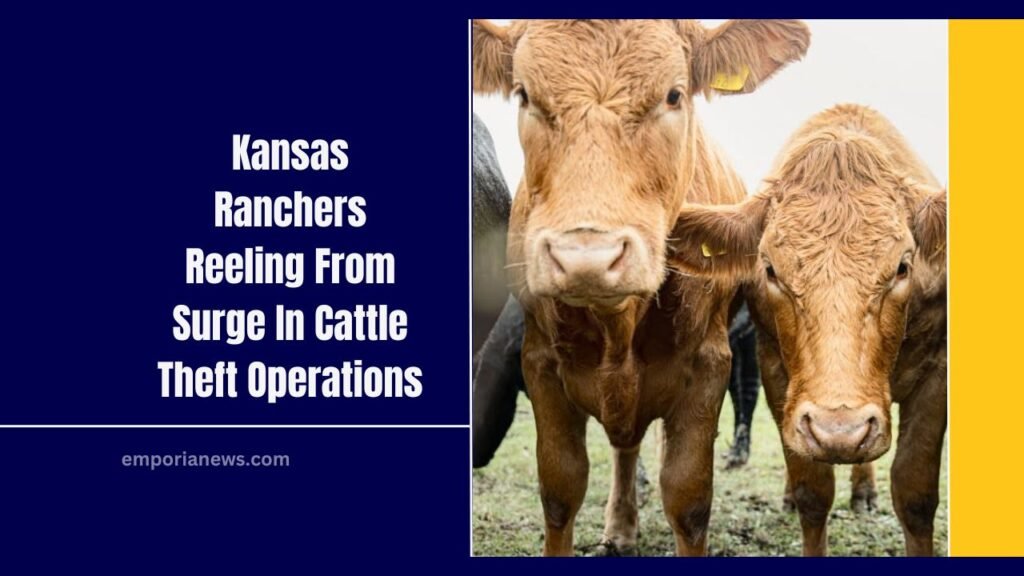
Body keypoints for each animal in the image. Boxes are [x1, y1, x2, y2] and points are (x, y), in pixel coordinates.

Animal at [473, 19, 809, 556]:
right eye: (524, 94)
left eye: (674, 94)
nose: (586, 257)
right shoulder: (540, 361)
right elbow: (561, 490)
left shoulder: (710, 363)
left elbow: (688, 499)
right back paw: (621, 525)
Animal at [670, 104, 946, 556]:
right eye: (770, 269)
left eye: (903, 266)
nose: (841, 431)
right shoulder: (776, 372)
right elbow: (812, 493)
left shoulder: (937, 373)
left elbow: (915, 495)